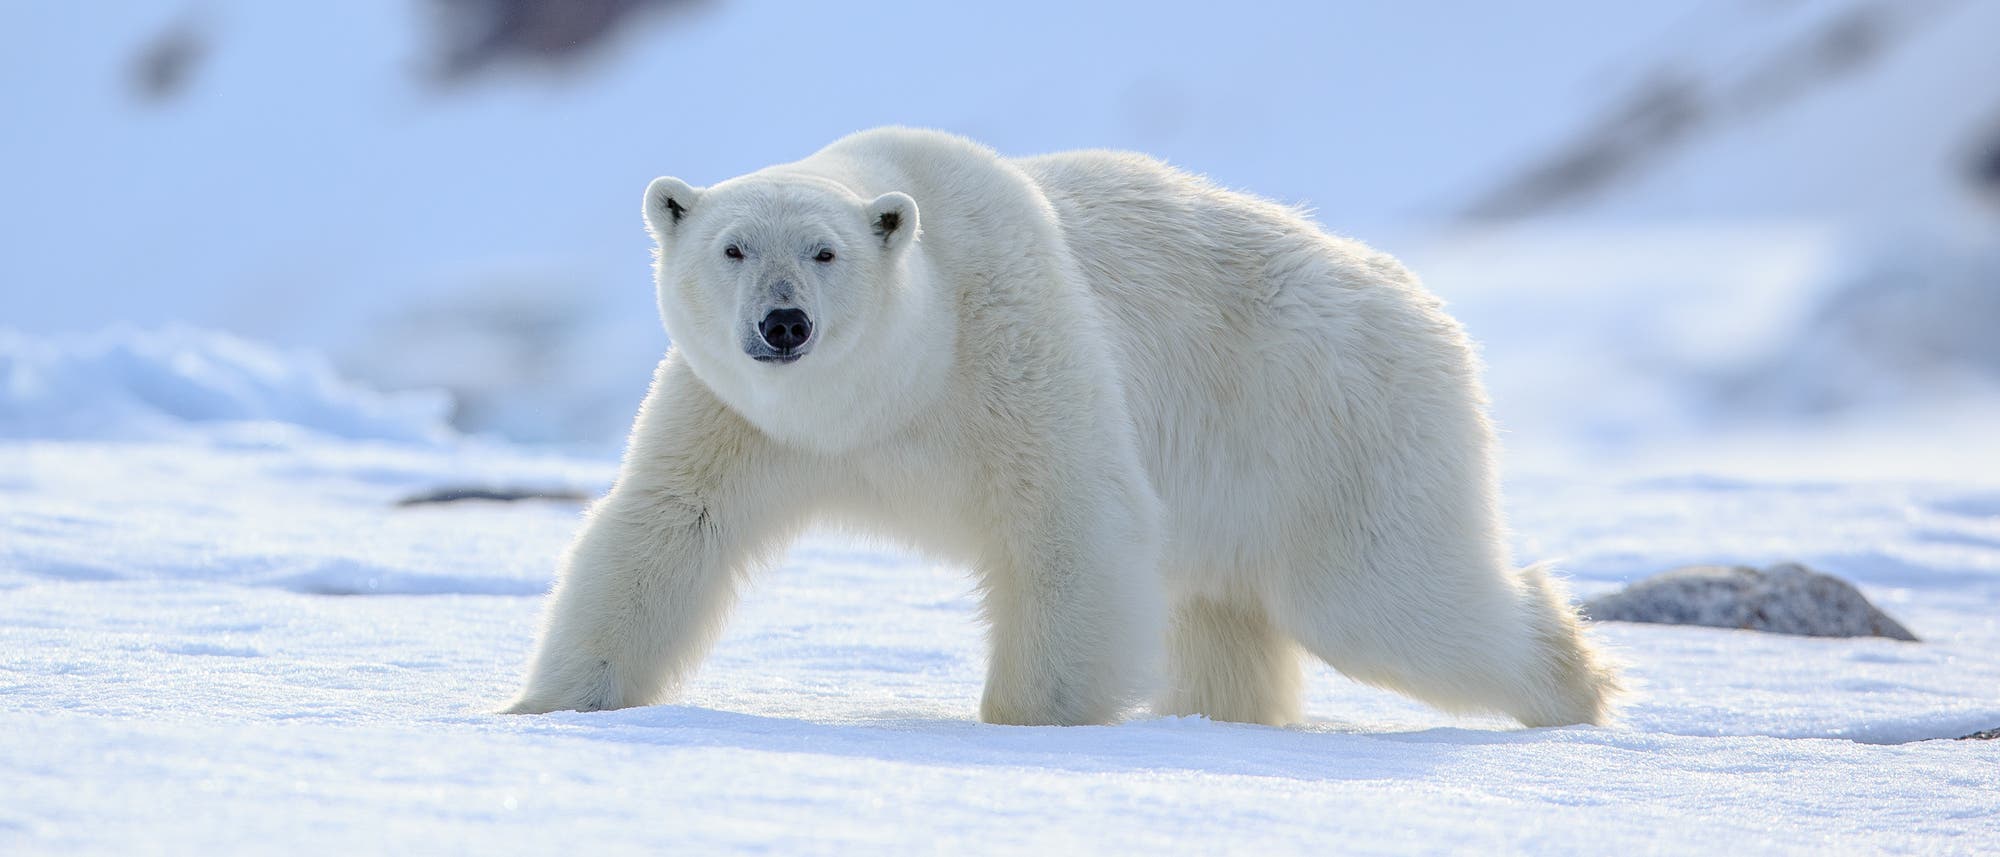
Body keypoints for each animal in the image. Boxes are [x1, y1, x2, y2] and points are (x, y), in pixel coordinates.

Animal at [501, 127, 1623, 728]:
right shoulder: (738, 417)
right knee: (1226, 614)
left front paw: (1029, 724)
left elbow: (1070, 522)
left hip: (1335, 423)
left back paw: (1577, 684)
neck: (889, 391)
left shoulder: (1014, 345)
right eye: (732, 247)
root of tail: (1424, 305)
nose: (783, 324)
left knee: (1388, 598)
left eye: (824, 252)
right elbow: (665, 529)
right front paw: (546, 706)